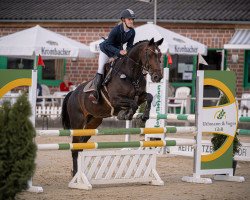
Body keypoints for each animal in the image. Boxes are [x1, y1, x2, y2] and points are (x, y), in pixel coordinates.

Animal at [61, 37, 164, 175]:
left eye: (160, 54)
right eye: (150, 54)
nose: (158, 77)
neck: (130, 75)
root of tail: (72, 93)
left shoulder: (140, 96)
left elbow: (149, 97)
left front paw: (143, 117)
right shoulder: (116, 100)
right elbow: (133, 104)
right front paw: (126, 115)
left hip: (93, 122)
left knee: (81, 146)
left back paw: (77, 172)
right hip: (77, 122)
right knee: (74, 148)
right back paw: (76, 173)